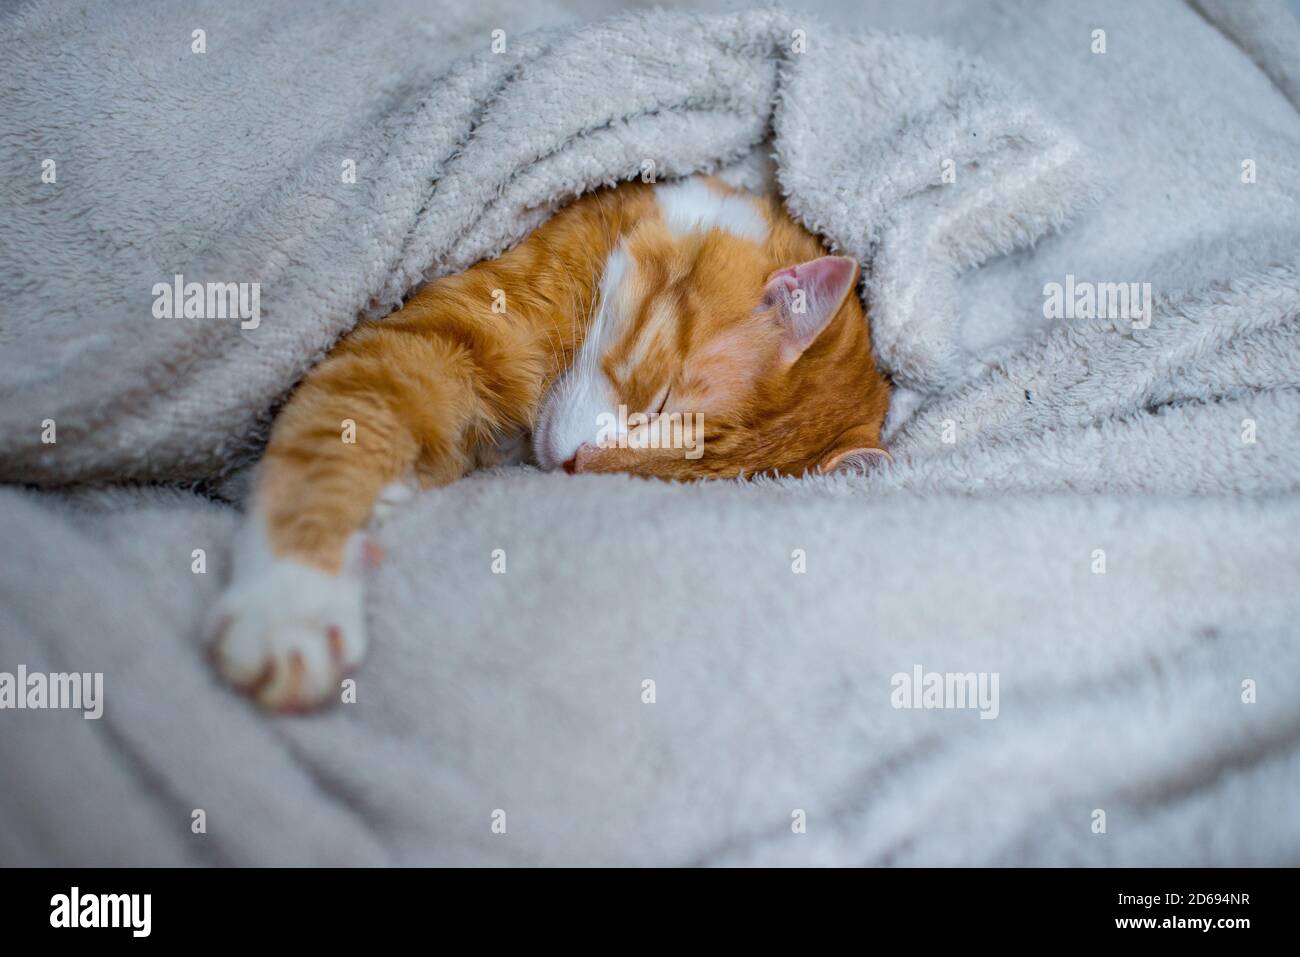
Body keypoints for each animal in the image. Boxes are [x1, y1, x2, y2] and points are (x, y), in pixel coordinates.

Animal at [210, 174, 894, 712]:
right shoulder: (409, 346)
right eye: (658, 406)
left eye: (665, 478)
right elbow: (330, 444)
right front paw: (288, 600)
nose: (572, 466)